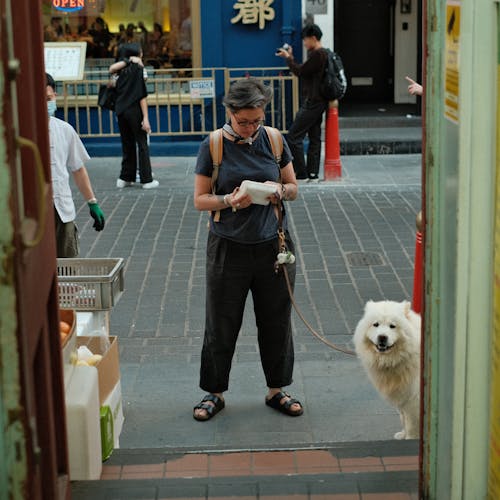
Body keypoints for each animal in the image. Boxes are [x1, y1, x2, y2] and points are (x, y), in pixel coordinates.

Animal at [354, 298, 420, 440]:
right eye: (376, 324)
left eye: (392, 326)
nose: (382, 337)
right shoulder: (403, 395)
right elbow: (403, 418)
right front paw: (402, 435)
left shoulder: (414, 399)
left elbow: (412, 424)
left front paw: (410, 438)